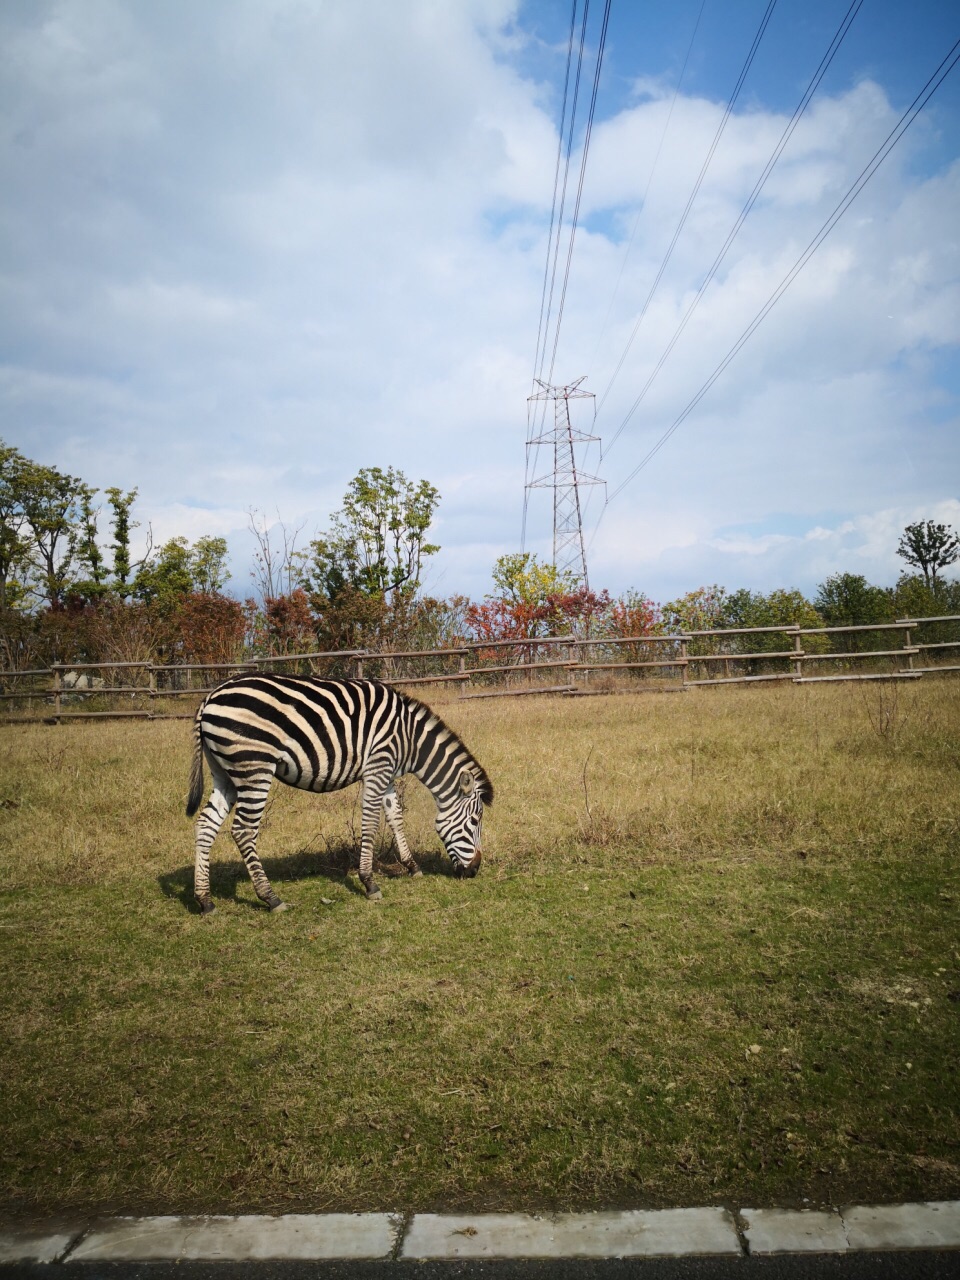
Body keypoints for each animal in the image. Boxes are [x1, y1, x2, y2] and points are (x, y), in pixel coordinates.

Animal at [185, 675, 496, 916]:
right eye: (474, 821)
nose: (474, 871)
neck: (410, 740)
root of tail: (210, 697)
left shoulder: (387, 775)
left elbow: (395, 816)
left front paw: (412, 866)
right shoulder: (378, 766)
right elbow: (370, 822)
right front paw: (369, 882)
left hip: (225, 773)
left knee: (205, 824)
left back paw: (205, 900)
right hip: (254, 767)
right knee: (243, 830)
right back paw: (271, 898)